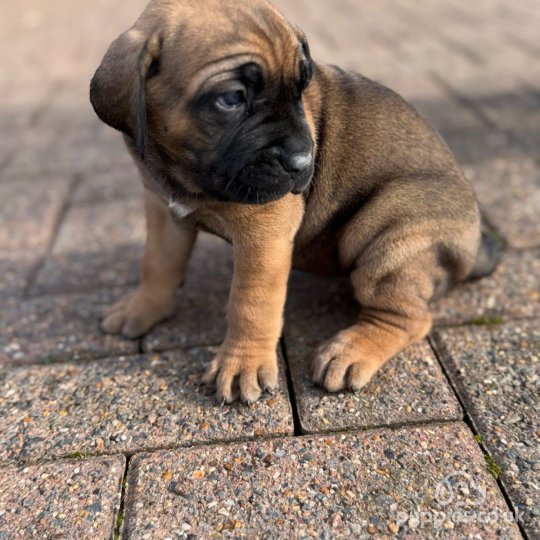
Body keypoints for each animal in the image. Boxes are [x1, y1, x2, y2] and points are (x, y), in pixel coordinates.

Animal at [90, 0, 500, 400]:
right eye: (231, 98)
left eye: (302, 88)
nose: (304, 162)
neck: (186, 171)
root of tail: (475, 246)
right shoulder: (162, 209)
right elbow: (157, 264)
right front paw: (143, 307)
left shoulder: (264, 234)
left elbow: (250, 302)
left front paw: (241, 365)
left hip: (389, 228)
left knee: (409, 317)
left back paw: (350, 351)